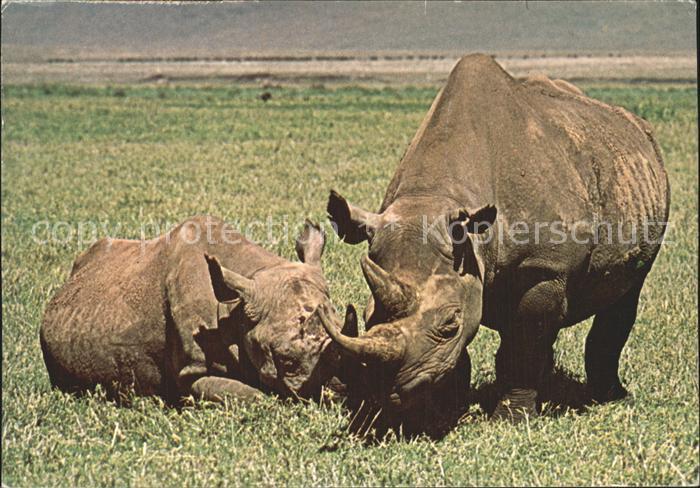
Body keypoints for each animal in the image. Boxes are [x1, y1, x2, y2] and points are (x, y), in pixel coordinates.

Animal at [322, 54, 670, 421]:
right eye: (366, 315)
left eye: (450, 322)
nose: (389, 392)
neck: (435, 195)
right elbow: (475, 344)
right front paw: (447, 407)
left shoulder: (543, 268)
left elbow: (525, 340)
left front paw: (513, 417)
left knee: (625, 292)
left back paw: (612, 398)